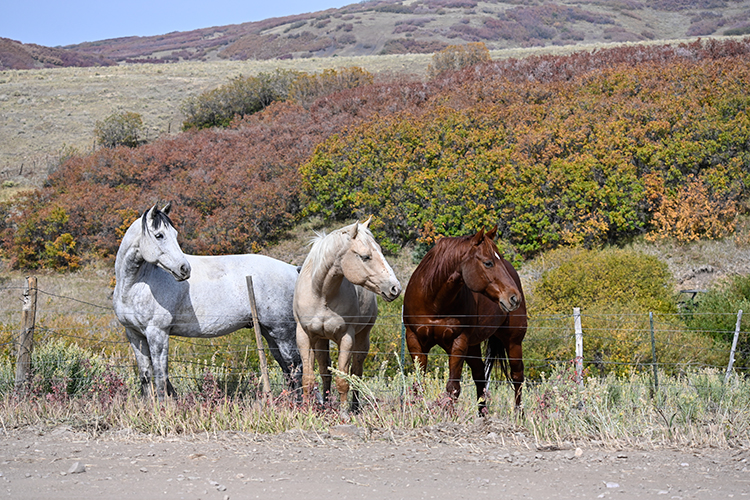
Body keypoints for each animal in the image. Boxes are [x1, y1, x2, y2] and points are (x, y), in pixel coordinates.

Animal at [113, 203, 302, 398]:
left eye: (175, 234)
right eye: (159, 235)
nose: (184, 269)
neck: (135, 285)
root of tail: (293, 269)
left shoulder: (157, 333)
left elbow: (160, 377)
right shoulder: (134, 334)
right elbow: (145, 375)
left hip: (283, 332)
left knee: (295, 367)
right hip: (268, 331)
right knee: (286, 368)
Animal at [406, 227, 528, 410]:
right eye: (488, 262)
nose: (514, 298)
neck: (434, 300)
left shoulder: (458, 342)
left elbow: (453, 388)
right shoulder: (415, 341)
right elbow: (418, 385)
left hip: (513, 342)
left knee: (517, 377)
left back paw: (519, 414)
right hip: (473, 346)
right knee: (480, 377)